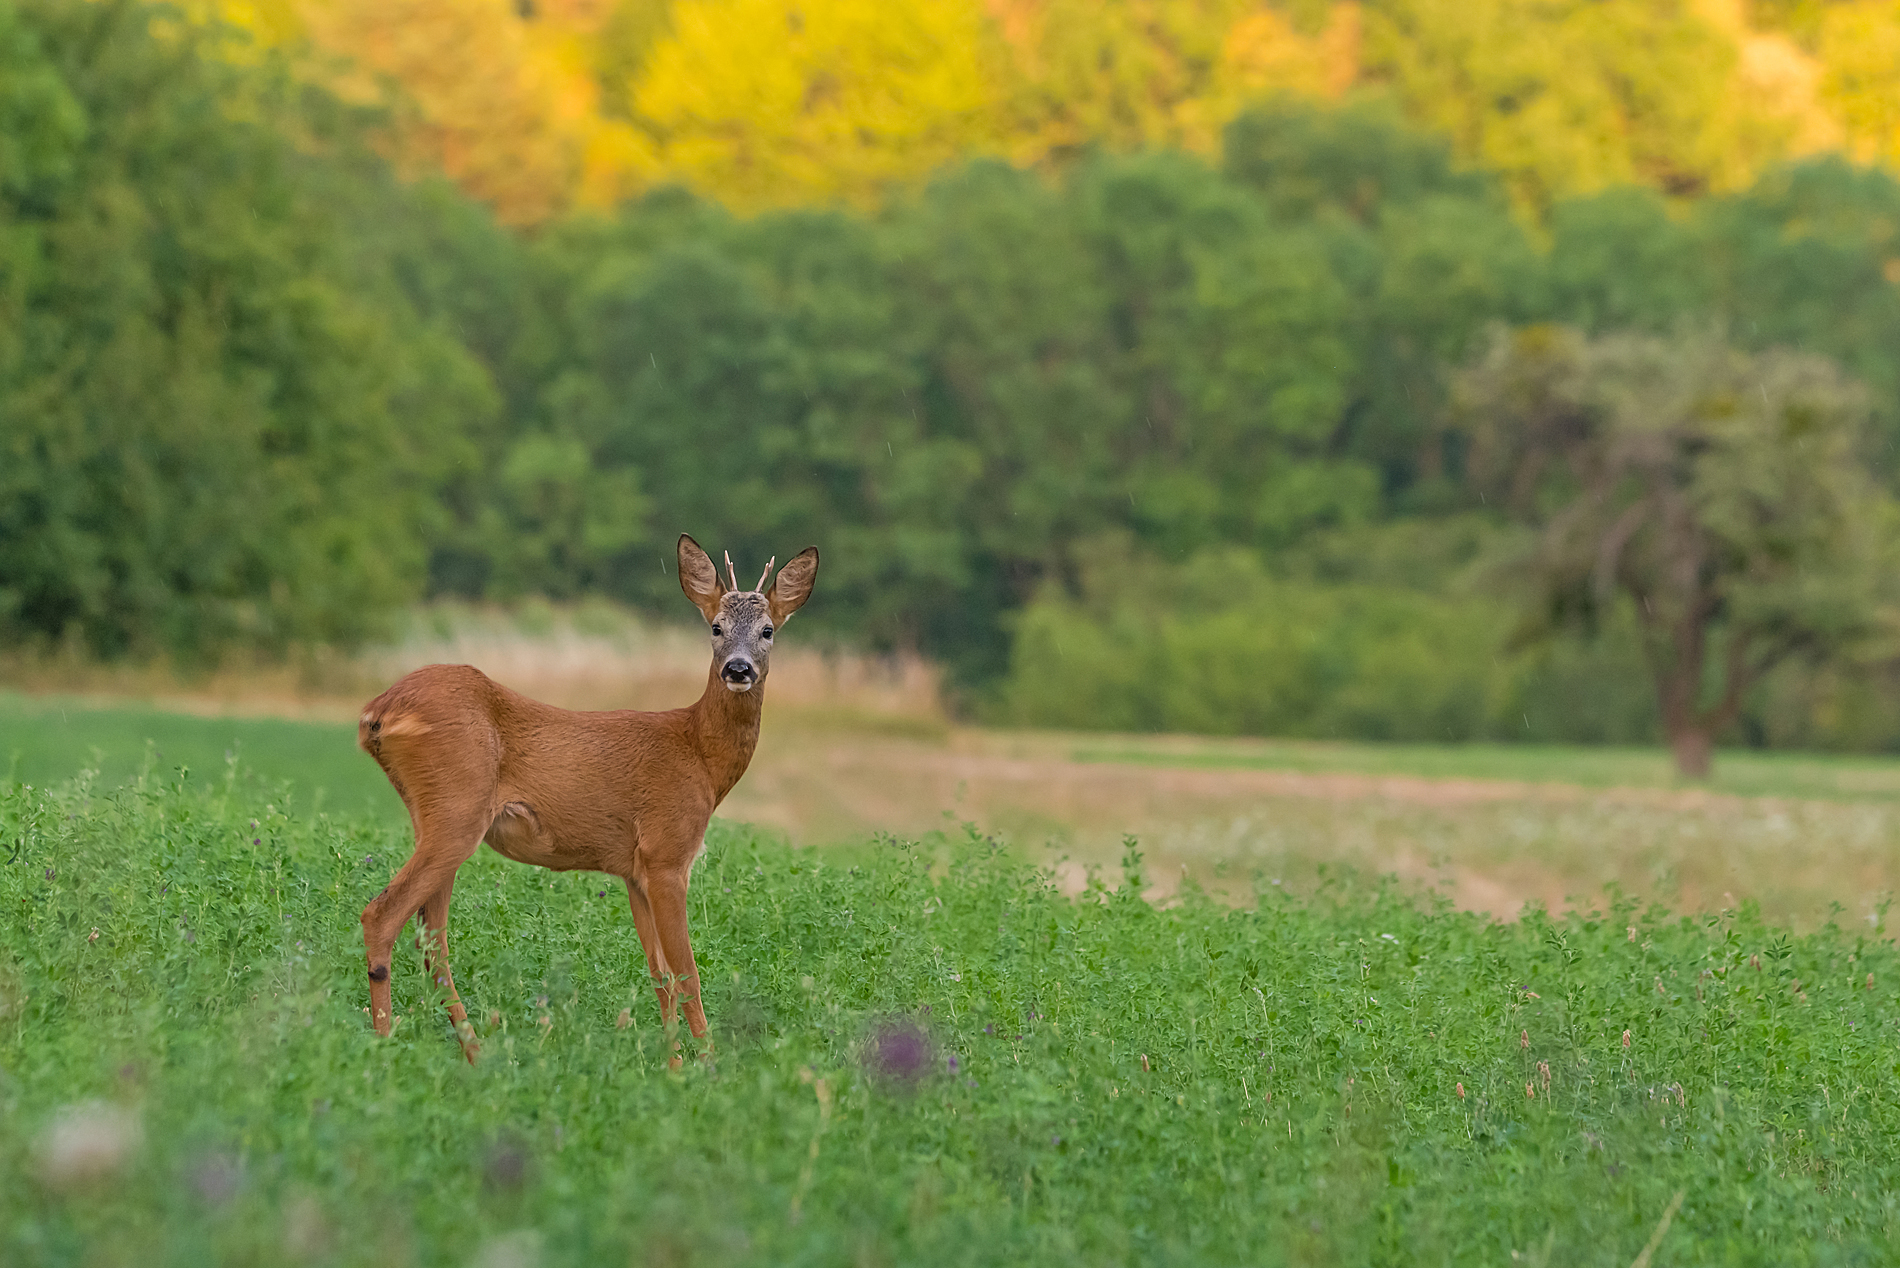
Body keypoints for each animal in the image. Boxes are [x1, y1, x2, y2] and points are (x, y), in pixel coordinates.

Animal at [357, 536, 817, 1064]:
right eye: (716, 627)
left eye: (768, 630)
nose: (737, 669)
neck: (698, 754)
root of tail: (376, 712)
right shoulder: (667, 853)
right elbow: (688, 975)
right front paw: (708, 1068)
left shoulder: (634, 871)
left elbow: (659, 975)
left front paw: (673, 1066)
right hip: (457, 810)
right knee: (382, 916)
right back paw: (385, 1047)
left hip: (436, 816)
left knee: (432, 942)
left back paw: (475, 1055)